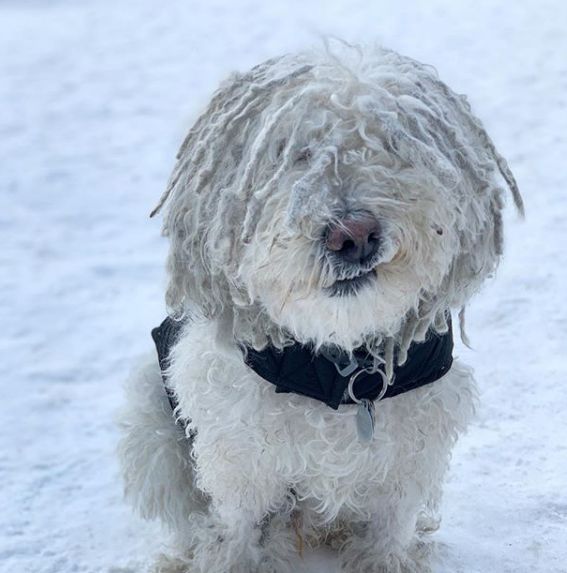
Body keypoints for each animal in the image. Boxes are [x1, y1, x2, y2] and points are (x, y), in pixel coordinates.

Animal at [117, 41, 524, 572]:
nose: (353, 236)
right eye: (293, 154)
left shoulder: (409, 450)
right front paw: (230, 558)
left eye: (394, 145)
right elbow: (237, 528)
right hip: (152, 423)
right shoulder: (239, 454)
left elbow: (389, 526)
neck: (339, 362)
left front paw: (385, 559)